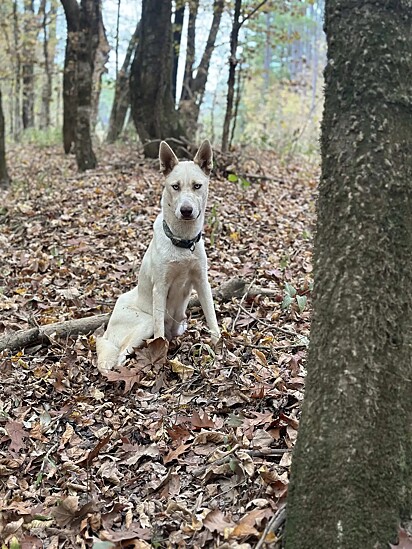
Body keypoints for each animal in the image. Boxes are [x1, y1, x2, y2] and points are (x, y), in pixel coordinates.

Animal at [95, 139, 220, 374]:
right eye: (175, 186)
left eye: (197, 186)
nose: (186, 210)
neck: (182, 243)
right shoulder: (160, 288)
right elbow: (160, 334)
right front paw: (160, 357)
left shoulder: (202, 282)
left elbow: (212, 317)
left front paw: (220, 344)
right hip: (145, 322)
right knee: (120, 353)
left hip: (179, 324)